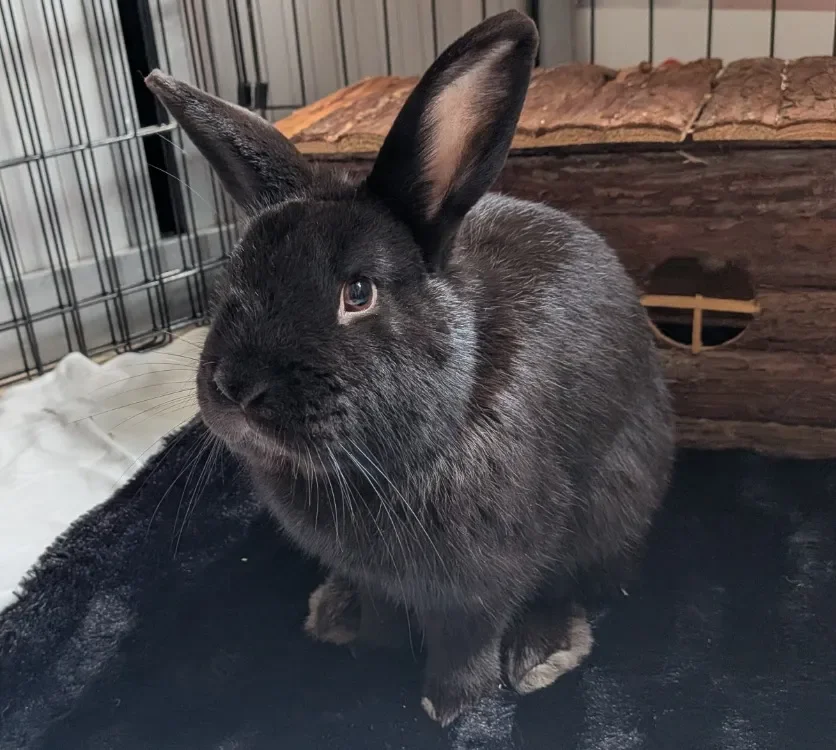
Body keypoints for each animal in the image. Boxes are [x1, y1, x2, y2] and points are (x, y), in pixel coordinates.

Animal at [145, 9, 674, 727]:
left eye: (358, 292)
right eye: (235, 280)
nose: (236, 388)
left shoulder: (485, 577)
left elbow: (468, 636)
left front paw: (448, 704)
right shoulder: (381, 574)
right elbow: (381, 606)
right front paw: (370, 641)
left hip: (617, 502)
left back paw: (542, 650)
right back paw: (334, 612)